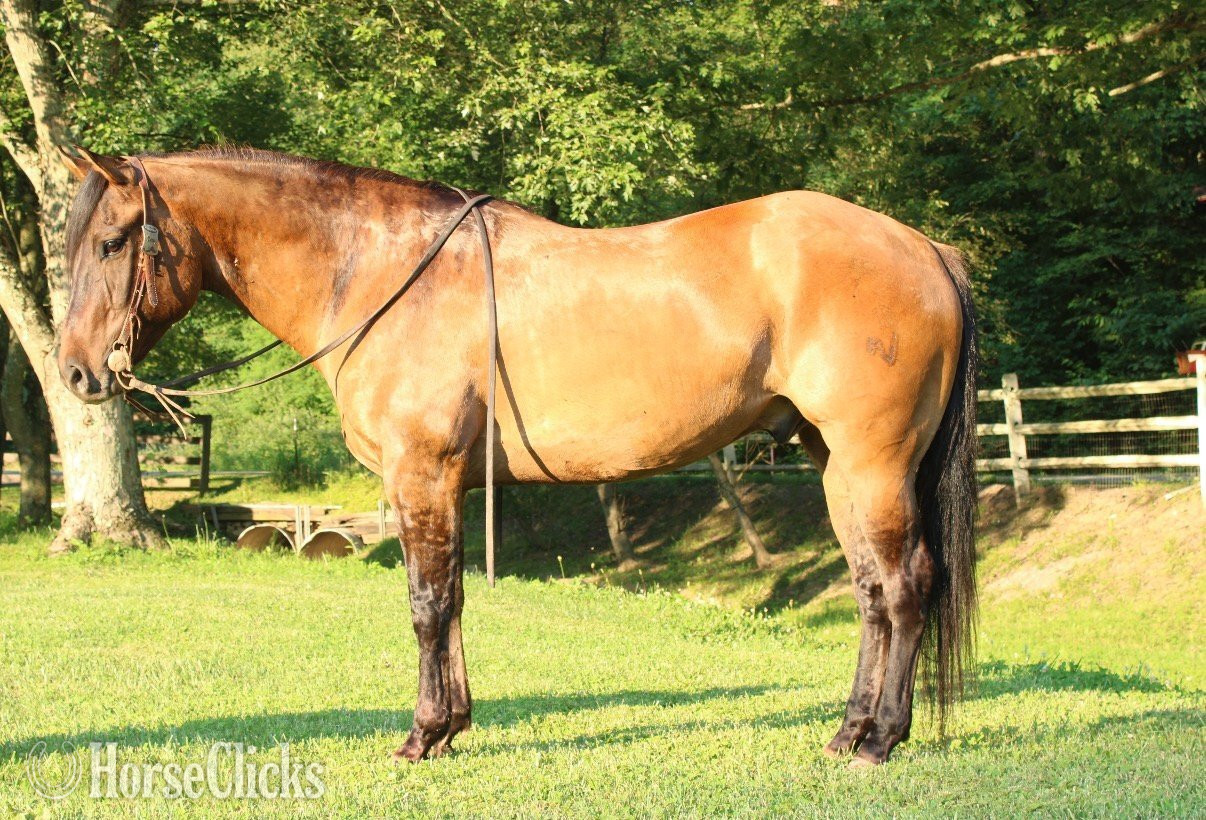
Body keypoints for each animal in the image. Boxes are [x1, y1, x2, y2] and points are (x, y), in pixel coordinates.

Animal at [56, 146, 977, 767]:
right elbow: (455, 599)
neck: (382, 273)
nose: (75, 372)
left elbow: (428, 605)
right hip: (836, 465)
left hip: (872, 462)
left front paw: (422, 736)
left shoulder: (421, 473)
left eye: (113, 242)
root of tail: (925, 249)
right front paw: (452, 725)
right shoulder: (449, 484)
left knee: (903, 587)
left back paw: (879, 741)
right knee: (870, 593)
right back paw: (849, 730)